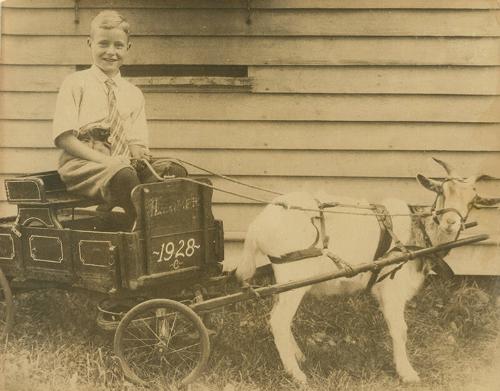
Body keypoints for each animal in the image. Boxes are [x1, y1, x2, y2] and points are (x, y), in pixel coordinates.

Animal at [235, 158, 500, 384]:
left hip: (286, 280)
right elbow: (400, 330)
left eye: (472, 200)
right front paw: (407, 373)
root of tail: (258, 224)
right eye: (442, 192)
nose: (450, 223)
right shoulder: (392, 287)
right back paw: (296, 374)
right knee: (279, 320)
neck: (419, 230)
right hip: (294, 275)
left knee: (277, 314)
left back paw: (298, 356)